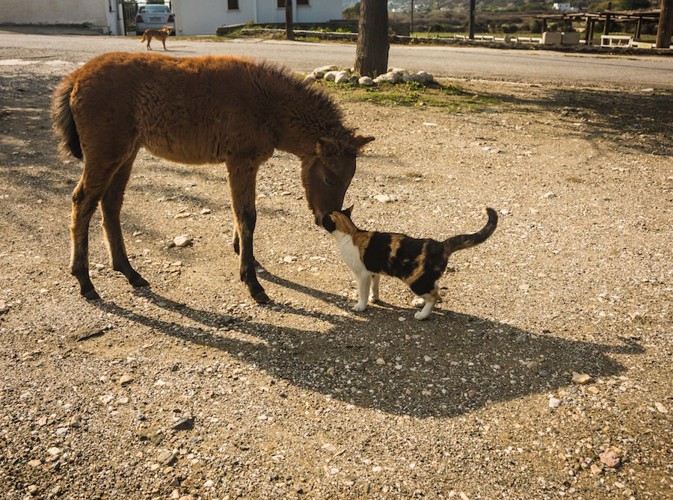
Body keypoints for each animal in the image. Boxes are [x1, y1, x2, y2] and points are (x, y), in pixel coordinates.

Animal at [52, 51, 372, 300]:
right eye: (329, 178)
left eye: (349, 179)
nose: (326, 221)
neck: (267, 105)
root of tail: (75, 78)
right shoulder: (241, 161)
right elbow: (247, 216)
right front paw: (252, 282)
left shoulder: (244, 164)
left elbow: (240, 213)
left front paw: (245, 256)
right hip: (105, 154)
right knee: (83, 202)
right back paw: (85, 281)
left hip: (126, 154)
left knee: (110, 204)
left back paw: (129, 272)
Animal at [322, 206, 496, 320]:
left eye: (324, 217)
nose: (319, 216)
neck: (350, 233)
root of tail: (439, 245)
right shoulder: (374, 272)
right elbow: (375, 287)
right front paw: (374, 298)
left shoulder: (362, 274)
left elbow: (363, 292)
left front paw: (361, 306)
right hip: (425, 279)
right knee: (435, 287)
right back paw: (420, 302)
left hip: (415, 281)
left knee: (434, 296)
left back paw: (423, 314)